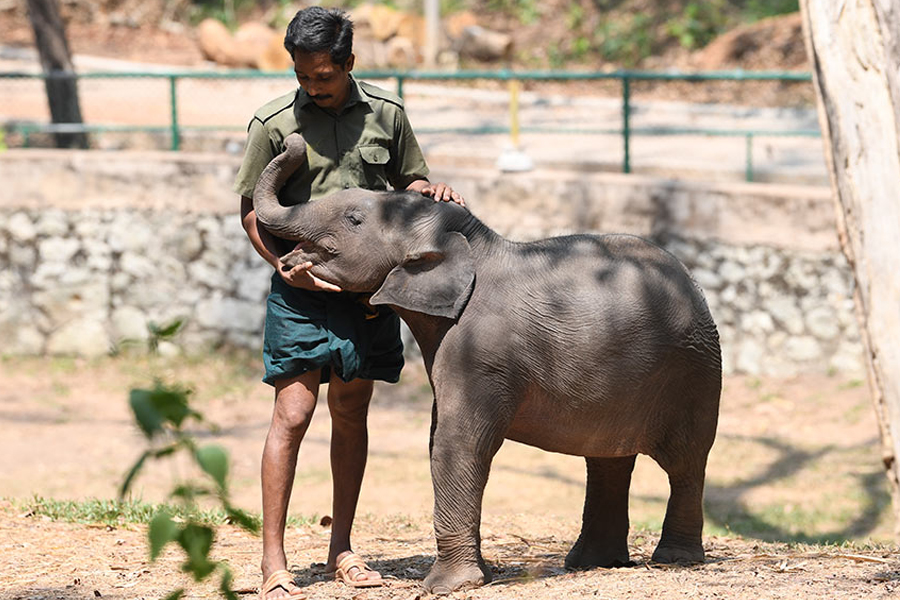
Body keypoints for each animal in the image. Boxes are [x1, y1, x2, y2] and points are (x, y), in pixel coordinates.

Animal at [255, 134, 724, 592]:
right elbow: (438, 439)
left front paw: (447, 586)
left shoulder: (482, 351)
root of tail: (696, 286)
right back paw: (593, 563)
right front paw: (474, 577)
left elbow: (457, 442)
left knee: (685, 461)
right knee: (607, 459)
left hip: (695, 370)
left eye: (354, 219)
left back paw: (673, 560)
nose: (292, 140)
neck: (471, 242)